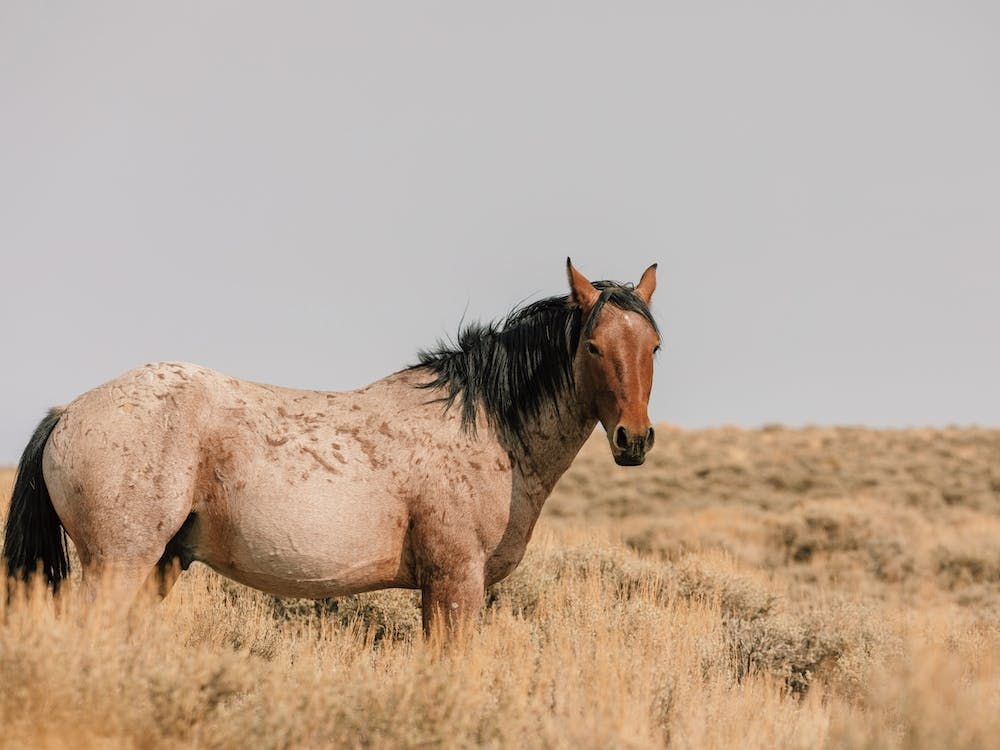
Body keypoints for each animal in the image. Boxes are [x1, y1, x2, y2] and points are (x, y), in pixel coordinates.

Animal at [3, 259, 659, 634]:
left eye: (654, 345)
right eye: (593, 346)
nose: (633, 439)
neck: (486, 427)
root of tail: (68, 412)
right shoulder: (455, 583)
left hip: (159, 566)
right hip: (118, 566)